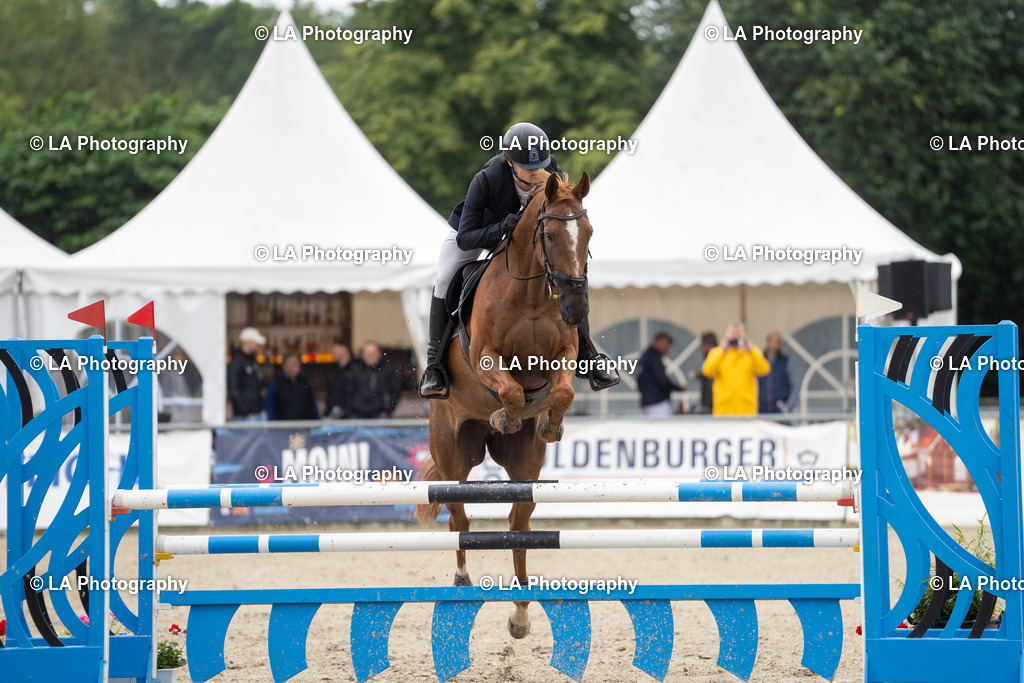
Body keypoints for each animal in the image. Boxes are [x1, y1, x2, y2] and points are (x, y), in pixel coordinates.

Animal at [417, 170, 592, 639]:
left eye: (589, 233)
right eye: (549, 235)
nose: (576, 307)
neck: (530, 295)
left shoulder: (565, 353)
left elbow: (562, 391)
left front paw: (551, 424)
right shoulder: (485, 357)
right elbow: (510, 390)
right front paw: (505, 413)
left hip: (525, 465)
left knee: (519, 522)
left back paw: (520, 611)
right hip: (453, 454)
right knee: (459, 518)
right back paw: (462, 581)